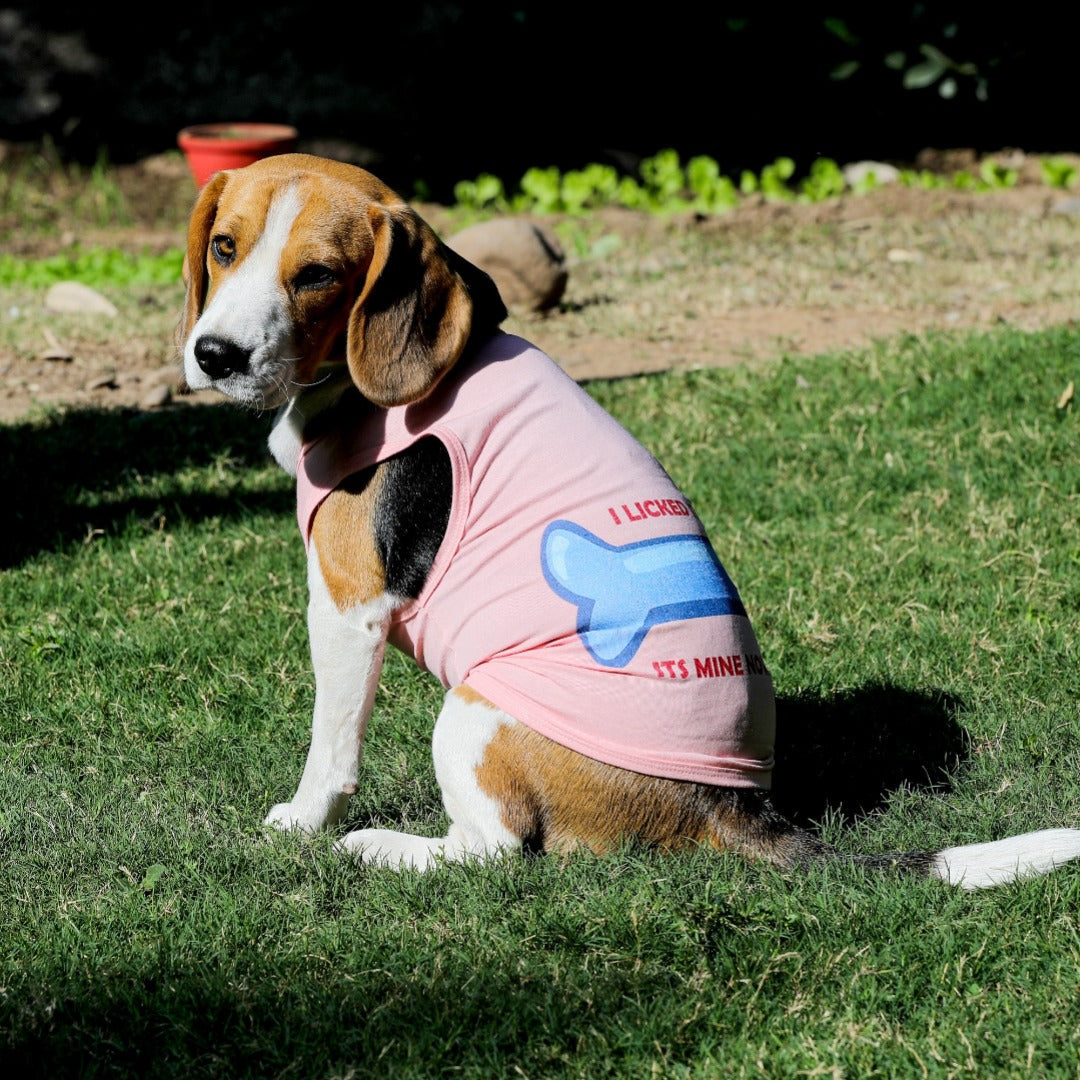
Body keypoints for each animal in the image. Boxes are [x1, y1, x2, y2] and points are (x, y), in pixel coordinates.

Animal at [179, 156, 1080, 889]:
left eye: (318, 275)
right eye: (223, 247)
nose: (215, 355)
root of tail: (727, 809)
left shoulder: (347, 607)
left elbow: (330, 747)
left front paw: (301, 822)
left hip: (473, 709)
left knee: (493, 852)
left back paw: (379, 847)